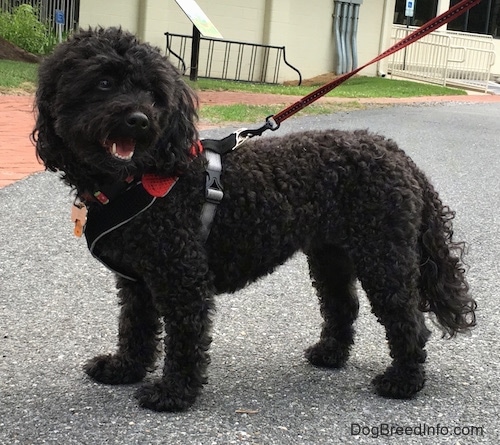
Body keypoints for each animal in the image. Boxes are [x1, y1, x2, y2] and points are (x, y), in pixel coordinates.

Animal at [32, 26, 476, 410]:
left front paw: (173, 393)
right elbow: (134, 329)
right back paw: (329, 354)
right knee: (342, 306)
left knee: (407, 318)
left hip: (383, 255)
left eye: (154, 92)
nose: (139, 120)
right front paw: (124, 370)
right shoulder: (137, 282)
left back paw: (403, 381)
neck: (141, 176)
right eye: (104, 82)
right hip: (331, 255)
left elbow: (184, 338)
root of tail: (397, 153)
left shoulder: (182, 278)